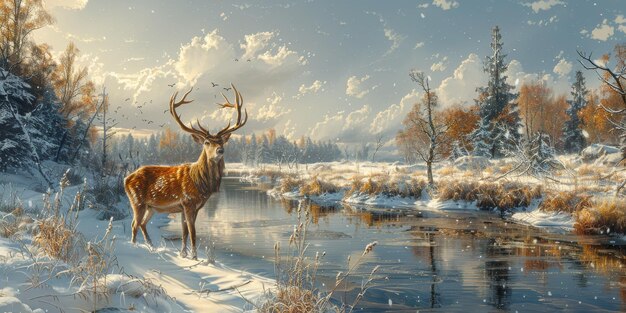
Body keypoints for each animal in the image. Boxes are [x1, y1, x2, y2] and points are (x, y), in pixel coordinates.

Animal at [123, 83, 247, 258]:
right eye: (207, 142)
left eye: (221, 141)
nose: (220, 150)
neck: (201, 184)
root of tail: (125, 179)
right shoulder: (188, 203)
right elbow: (192, 232)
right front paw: (194, 256)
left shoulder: (188, 207)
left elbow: (184, 232)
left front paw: (183, 254)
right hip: (137, 201)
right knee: (134, 224)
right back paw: (135, 248)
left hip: (150, 207)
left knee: (142, 224)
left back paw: (151, 246)